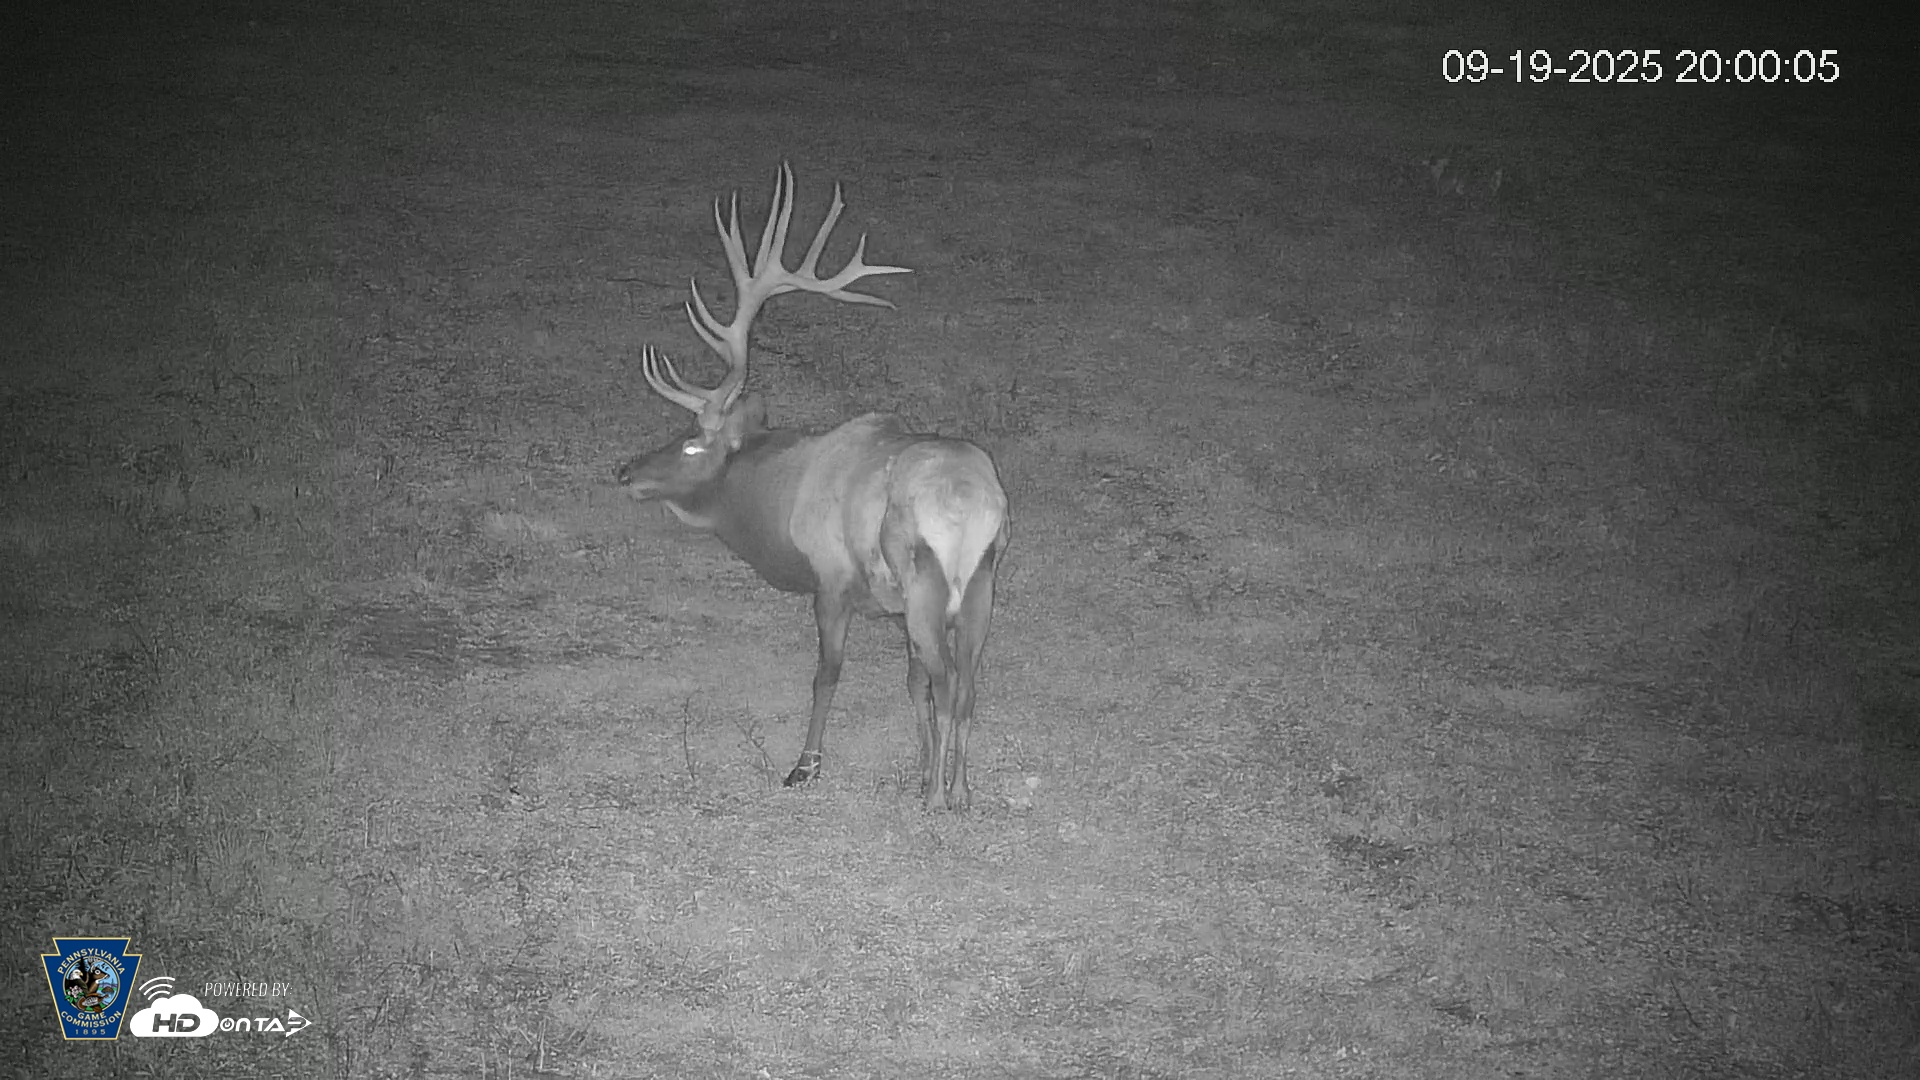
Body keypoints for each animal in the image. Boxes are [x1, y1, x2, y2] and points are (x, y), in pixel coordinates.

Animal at [614, 164, 1010, 811]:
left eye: (692, 445)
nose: (625, 471)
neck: (780, 503)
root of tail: (972, 506)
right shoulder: (895, 610)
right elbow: (912, 686)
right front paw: (922, 764)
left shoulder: (831, 581)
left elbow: (828, 674)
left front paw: (805, 765)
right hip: (980, 588)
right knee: (968, 683)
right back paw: (960, 791)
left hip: (928, 582)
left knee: (951, 679)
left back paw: (935, 799)